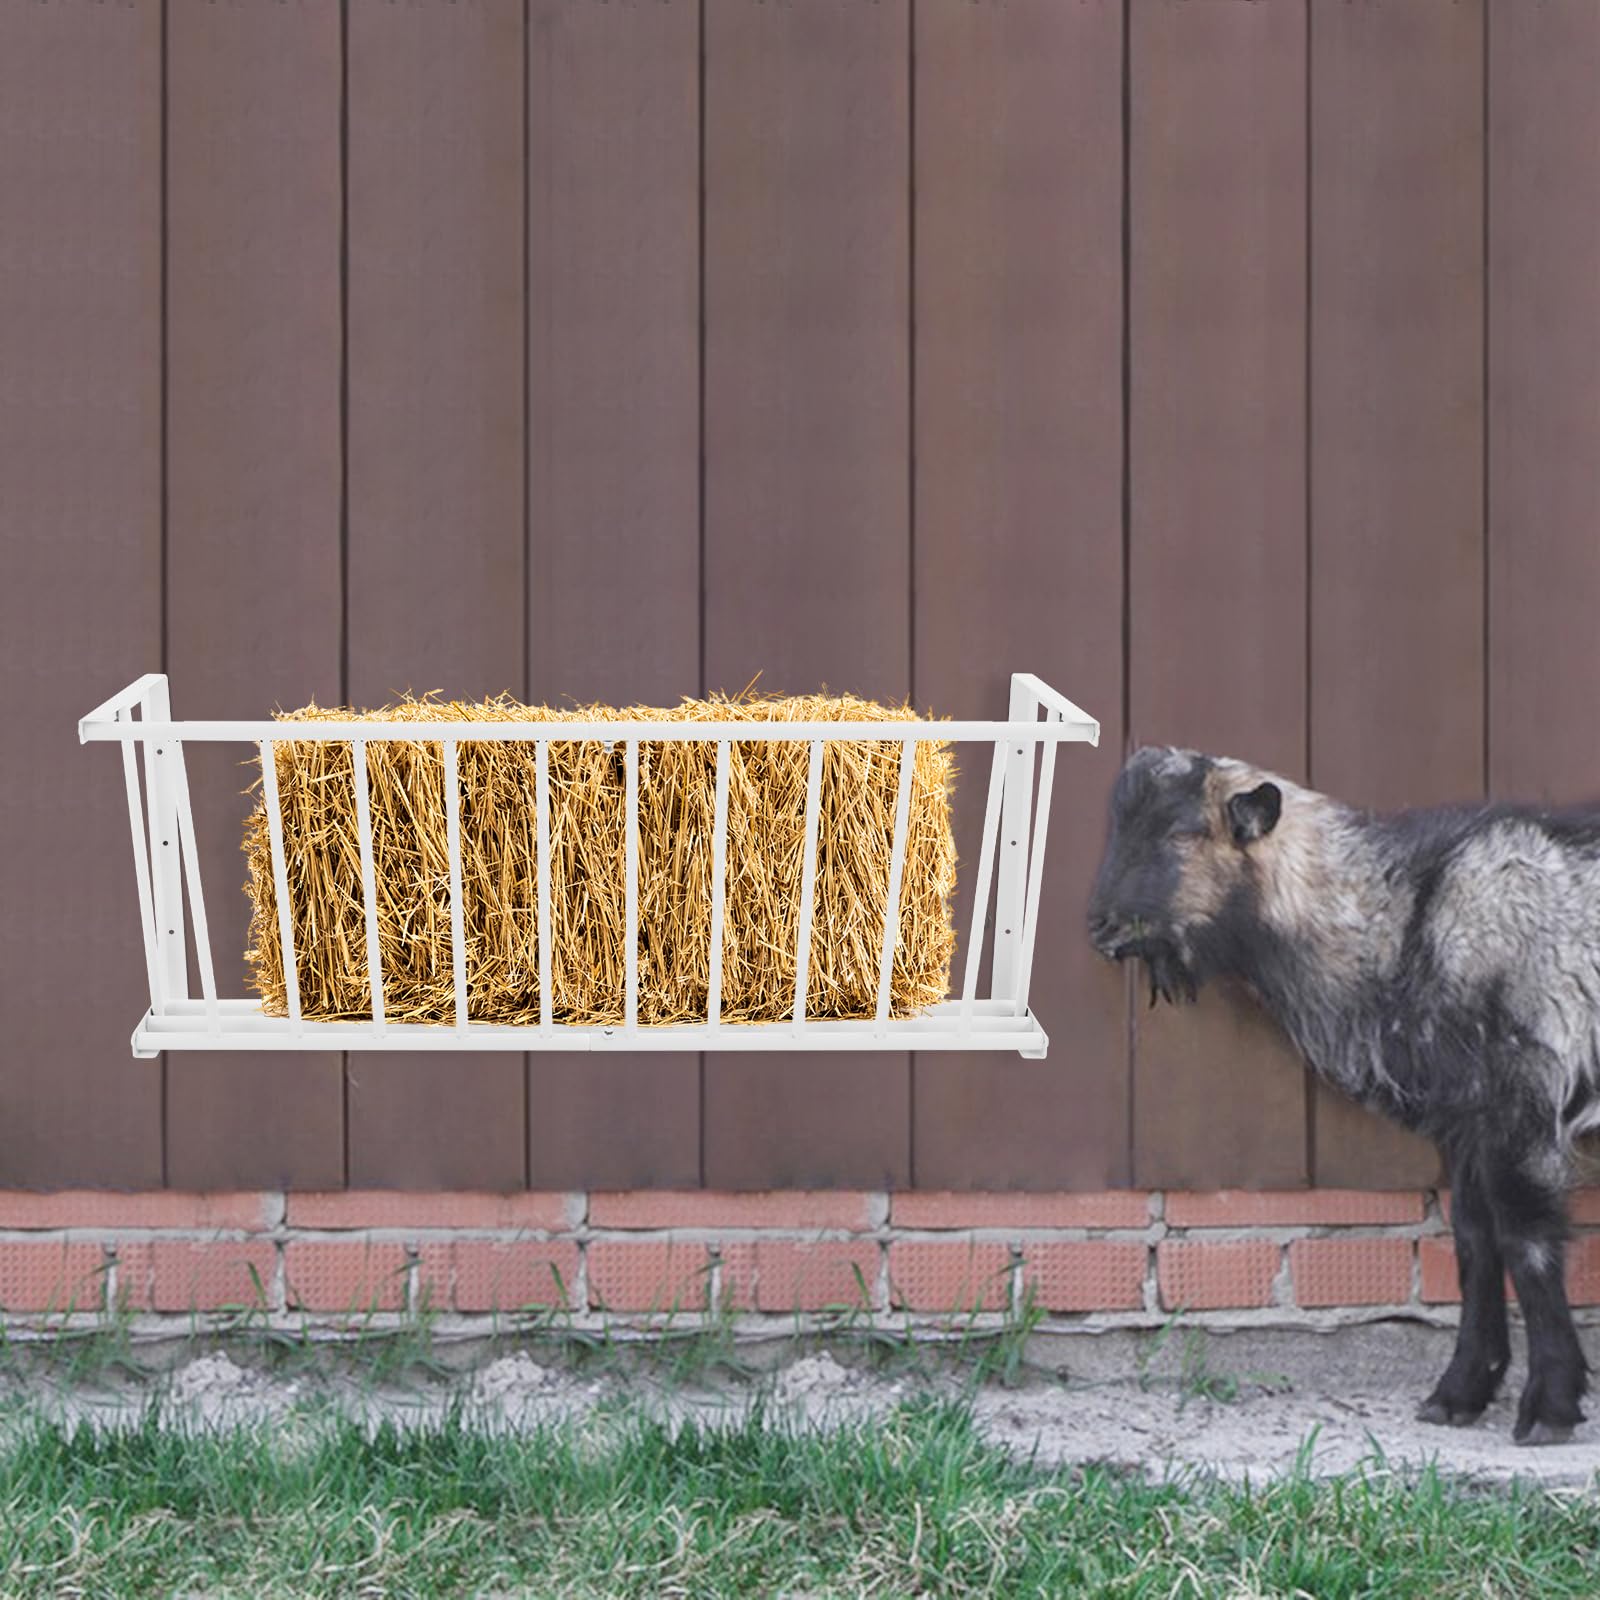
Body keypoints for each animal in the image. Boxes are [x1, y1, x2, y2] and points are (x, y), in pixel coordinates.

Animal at [1087, 745, 1599, 1445]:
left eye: (1181, 832)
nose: (1101, 927)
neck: (1405, 917)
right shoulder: (1464, 1115)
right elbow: (1474, 1240)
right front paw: (1459, 1394)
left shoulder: (1519, 1101)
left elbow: (1527, 1242)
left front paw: (1549, 1407)